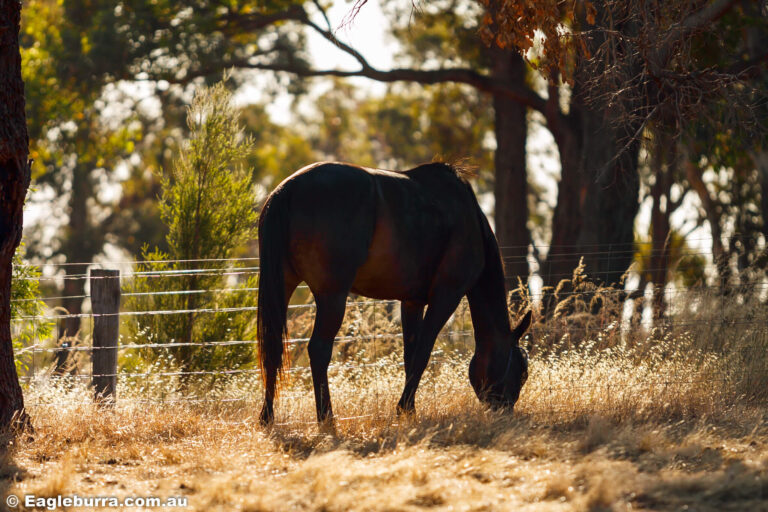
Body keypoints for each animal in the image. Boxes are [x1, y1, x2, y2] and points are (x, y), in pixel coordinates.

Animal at [255, 162, 532, 426]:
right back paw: (327, 419)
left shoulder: (412, 302)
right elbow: (422, 354)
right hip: (332, 296)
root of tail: (287, 189)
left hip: (284, 286)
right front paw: (403, 408)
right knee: (319, 350)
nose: (505, 411)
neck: (469, 219)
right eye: (521, 370)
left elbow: (410, 356)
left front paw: (410, 410)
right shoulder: (446, 296)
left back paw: (267, 417)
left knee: (273, 348)